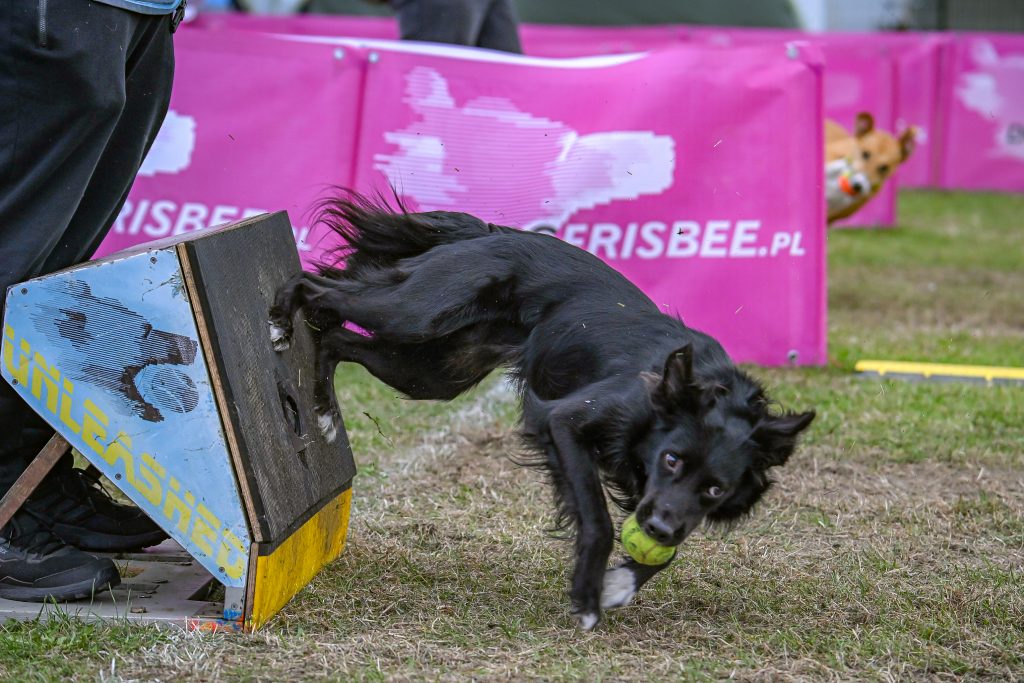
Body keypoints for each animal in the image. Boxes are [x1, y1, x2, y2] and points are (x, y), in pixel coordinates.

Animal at [268, 192, 811, 630]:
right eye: (671, 459)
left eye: (716, 489)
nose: (657, 529)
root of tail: (491, 234)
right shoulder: (563, 421)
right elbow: (597, 517)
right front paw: (589, 594)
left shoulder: (662, 499)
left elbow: (666, 549)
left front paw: (622, 582)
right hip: (415, 313)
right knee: (315, 287)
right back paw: (278, 321)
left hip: (434, 372)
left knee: (336, 340)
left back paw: (321, 409)